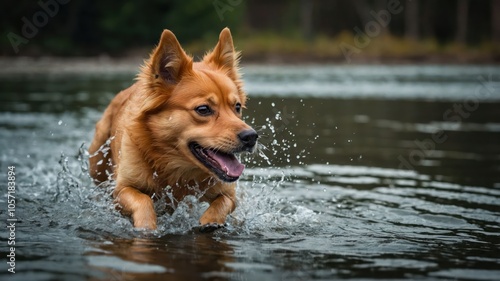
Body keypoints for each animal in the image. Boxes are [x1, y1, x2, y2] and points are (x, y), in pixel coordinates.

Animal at [88, 27, 258, 232]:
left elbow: (223, 202)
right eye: (203, 109)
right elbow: (143, 200)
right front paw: (146, 226)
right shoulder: (121, 190)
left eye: (237, 107)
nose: (251, 136)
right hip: (96, 163)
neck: (175, 168)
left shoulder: (228, 192)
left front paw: (210, 222)